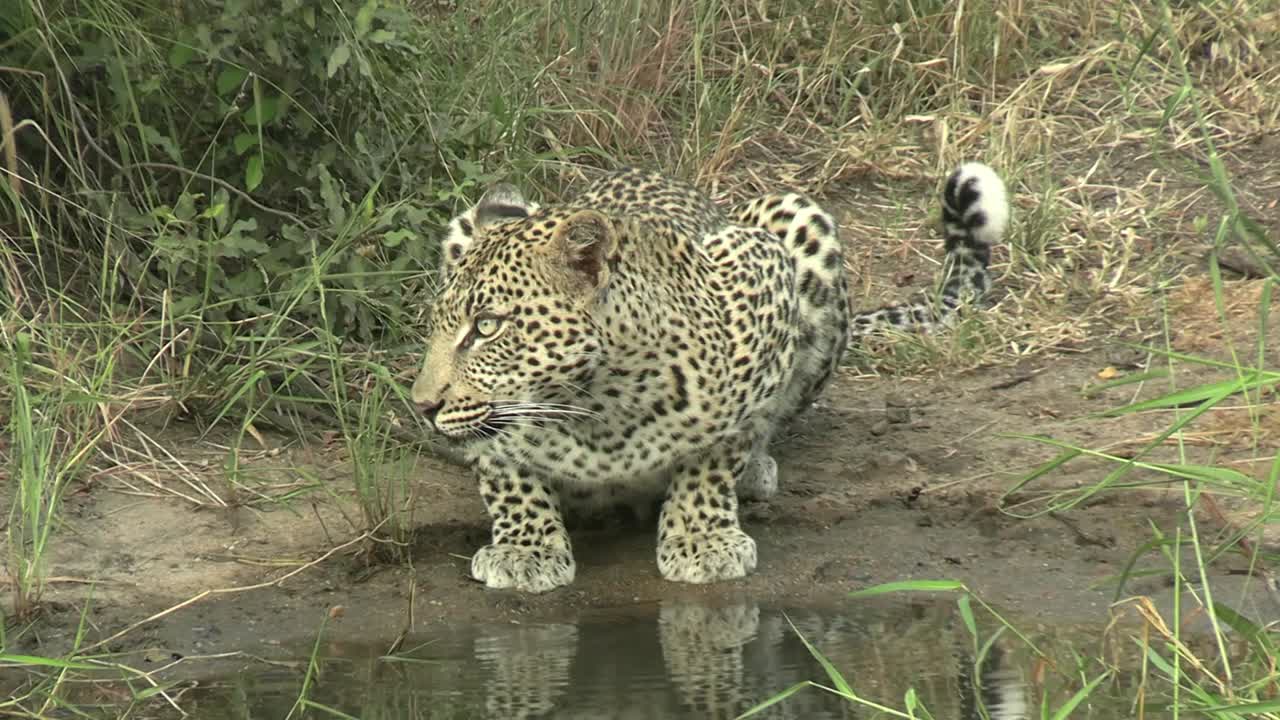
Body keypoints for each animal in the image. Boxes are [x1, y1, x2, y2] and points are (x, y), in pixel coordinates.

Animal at [412, 163, 1009, 594]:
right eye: (438, 325)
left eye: (487, 326)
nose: (421, 405)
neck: (600, 410)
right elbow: (505, 469)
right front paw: (526, 550)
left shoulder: (761, 278)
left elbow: (720, 450)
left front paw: (702, 540)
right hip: (464, 222)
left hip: (795, 216)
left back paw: (755, 474)